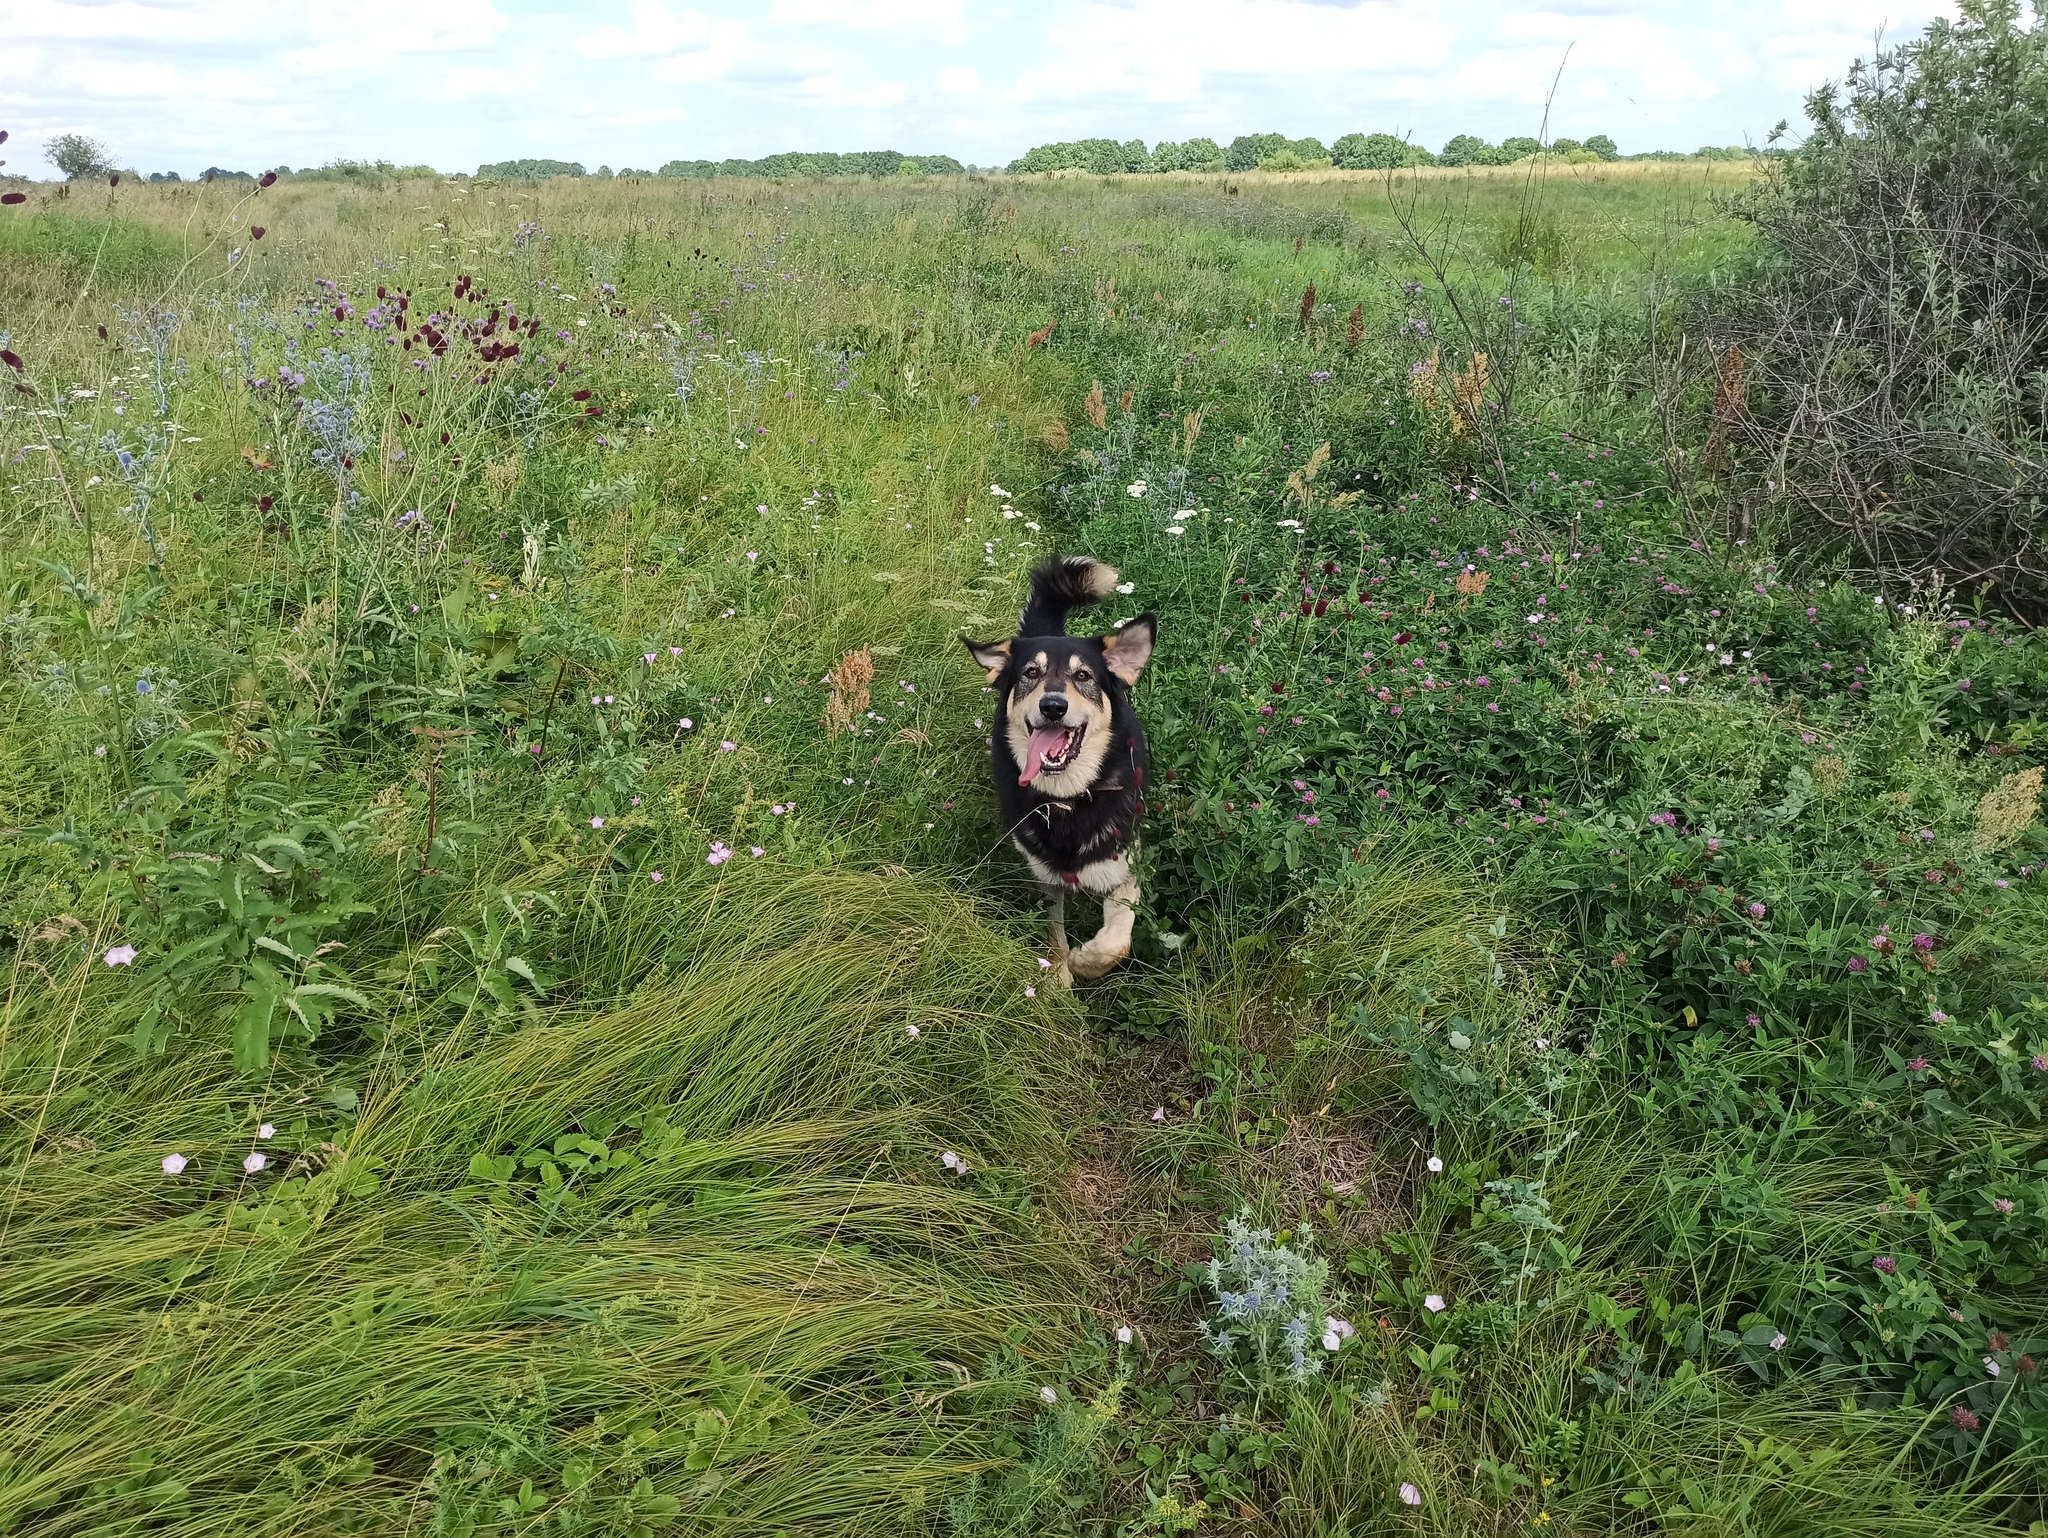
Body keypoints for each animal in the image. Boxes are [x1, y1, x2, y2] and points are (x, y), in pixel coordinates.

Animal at [958, 552, 1155, 987]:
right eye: (1030, 673)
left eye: (1083, 676)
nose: (1052, 706)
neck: (1068, 799)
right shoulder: (1044, 876)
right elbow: (1053, 935)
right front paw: (1059, 977)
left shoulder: (1125, 868)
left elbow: (1117, 942)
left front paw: (1085, 961)